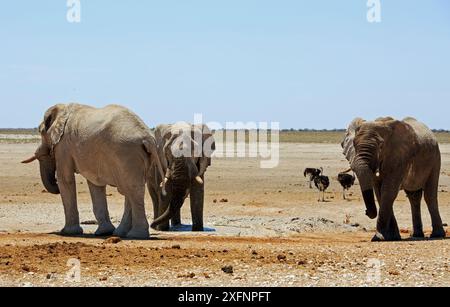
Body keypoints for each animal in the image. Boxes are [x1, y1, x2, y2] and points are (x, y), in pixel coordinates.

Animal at [22, 104, 166, 239]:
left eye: (41, 132)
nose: (55, 186)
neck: (63, 109)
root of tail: (148, 139)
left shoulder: (63, 146)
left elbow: (65, 179)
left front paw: (68, 232)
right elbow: (95, 183)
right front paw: (104, 232)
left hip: (127, 154)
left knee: (132, 189)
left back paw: (136, 235)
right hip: (140, 158)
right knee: (130, 190)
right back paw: (120, 233)